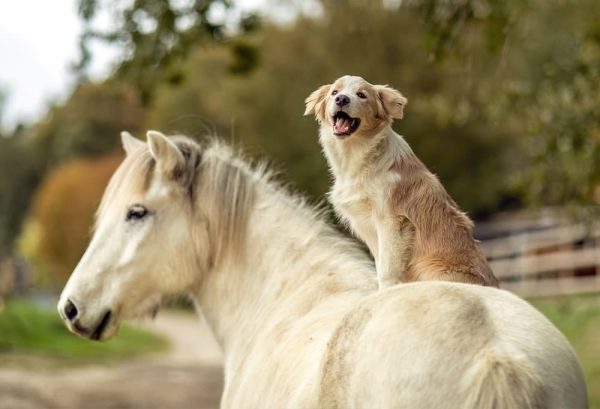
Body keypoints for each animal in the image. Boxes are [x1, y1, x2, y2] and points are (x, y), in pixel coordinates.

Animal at [302, 75, 500, 288]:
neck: (359, 155)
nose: (341, 99)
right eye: (335, 92)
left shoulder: (391, 220)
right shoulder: (368, 226)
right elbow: (379, 264)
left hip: (430, 267)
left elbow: (386, 269)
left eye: (361, 95)